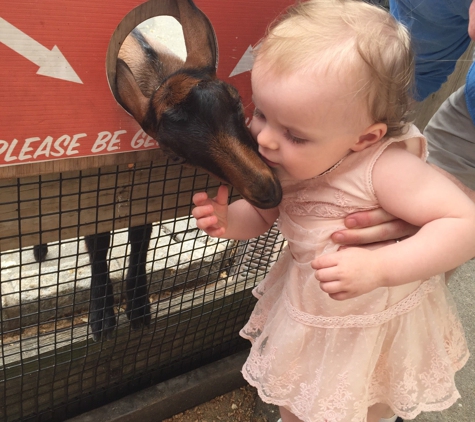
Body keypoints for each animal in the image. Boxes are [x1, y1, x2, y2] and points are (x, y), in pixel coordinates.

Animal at [34, 0, 282, 342]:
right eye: (175, 152)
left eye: (236, 100)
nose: (267, 190)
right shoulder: (96, 183)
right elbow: (98, 244)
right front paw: (102, 317)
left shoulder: (145, 186)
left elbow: (141, 238)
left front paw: (139, 307)